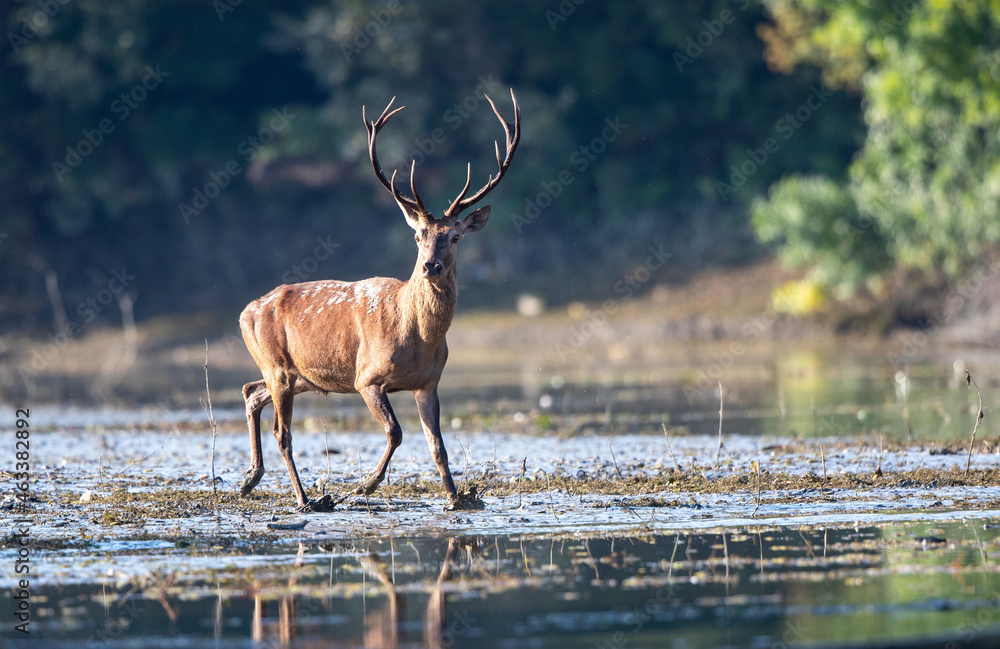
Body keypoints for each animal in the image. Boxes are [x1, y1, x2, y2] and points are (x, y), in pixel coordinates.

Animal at [237, 89, 520, 512]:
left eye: (455, 237)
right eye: (418, 235)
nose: (431, 266)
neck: (418, 337)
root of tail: (245, 312)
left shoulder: (429, 383)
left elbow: (437, 445)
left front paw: (456, 497)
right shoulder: (366, 377)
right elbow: (396, 432)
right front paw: (365, 485)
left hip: (299, 375)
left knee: (251, 392)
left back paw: (249, 480)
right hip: (279, 366)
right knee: (281, 432)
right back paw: (306, 498)